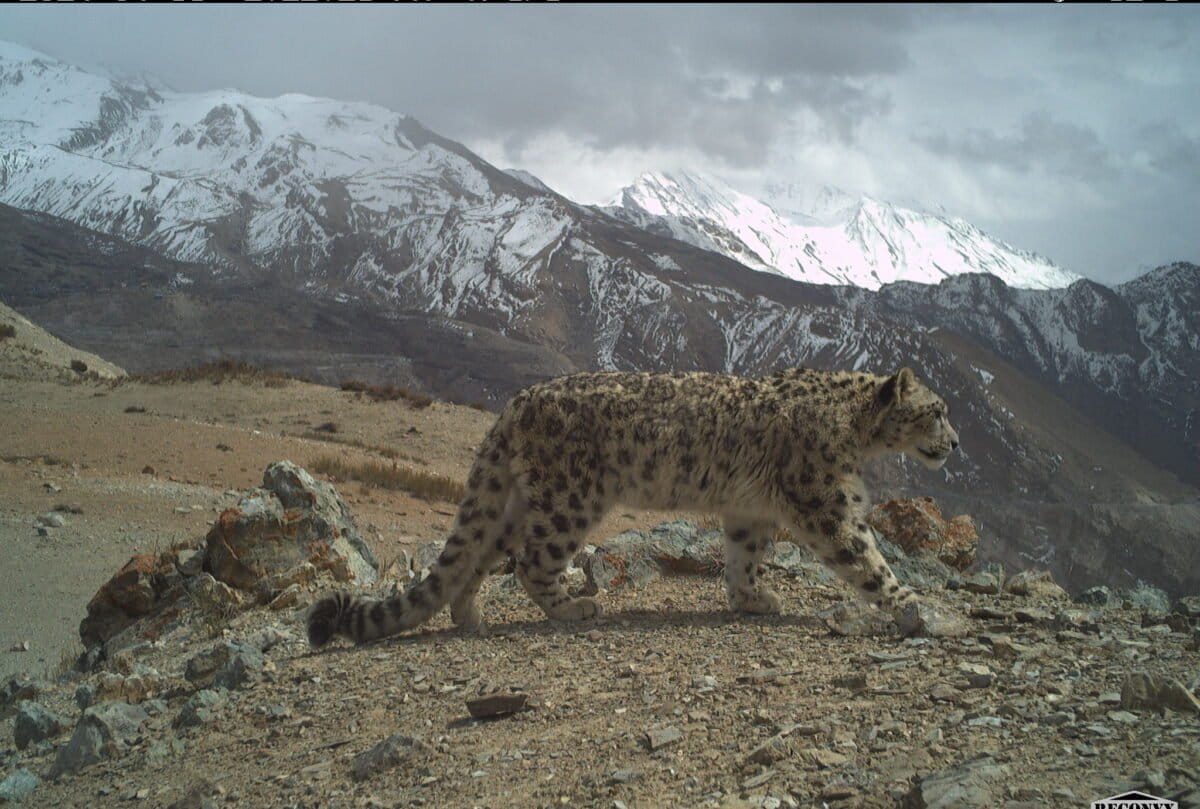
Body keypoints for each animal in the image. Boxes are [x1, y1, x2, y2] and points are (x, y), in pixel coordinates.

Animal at [307, 366, 959, 646]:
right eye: (936, 410)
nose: (955, 443)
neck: (857, 433)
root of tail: (516, 403)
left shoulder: (749, 511)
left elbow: (744, 558)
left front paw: (753, 599)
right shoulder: (827, 503)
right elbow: (867, 557)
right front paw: (915, 604)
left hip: (519, 500)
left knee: (481, 553)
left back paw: (470, 614)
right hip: (572, 497)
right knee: (533, 561)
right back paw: (575, 608)